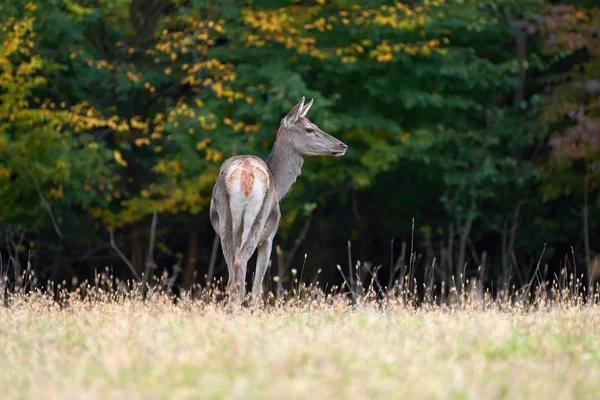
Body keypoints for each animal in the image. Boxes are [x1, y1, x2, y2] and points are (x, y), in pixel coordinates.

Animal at [209, 97, 346, 302]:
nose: (342, 145)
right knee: (241, 266)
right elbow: (257, 287)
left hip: (226, 221)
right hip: (259, 219)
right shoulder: (270, 237)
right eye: (310, 129)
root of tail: (245, 176)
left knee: (233, 273)